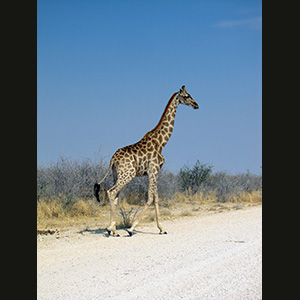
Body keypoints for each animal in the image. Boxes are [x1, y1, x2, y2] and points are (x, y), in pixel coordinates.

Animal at [94, 86, 199, 237]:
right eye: (186, 96)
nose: (196, 105)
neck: (161, 143)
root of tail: (113, 159)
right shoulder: (153, 170)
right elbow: (150, 198)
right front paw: (131, 228)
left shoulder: (154, 172)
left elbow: (156, 198)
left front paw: (161, 228)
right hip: (128, 175)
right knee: (111, 192)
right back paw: (111, 229)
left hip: (116, 175)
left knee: (115, 196)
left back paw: (113, 230)